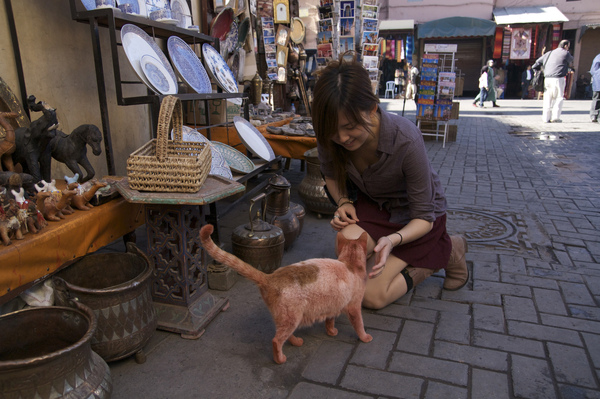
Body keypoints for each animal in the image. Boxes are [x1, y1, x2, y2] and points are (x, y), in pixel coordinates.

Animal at [199, 225, 372, 366]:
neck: (350, 263)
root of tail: (269, 277)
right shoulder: (354, 307)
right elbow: (359, 325)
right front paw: (365, 338)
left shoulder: (332, 306)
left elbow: (330, 321)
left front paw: (331, 332)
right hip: (292, 318)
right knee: (276, 340)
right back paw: (280, 359)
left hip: (288, 318)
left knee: (285, 336)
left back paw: (296, 342)